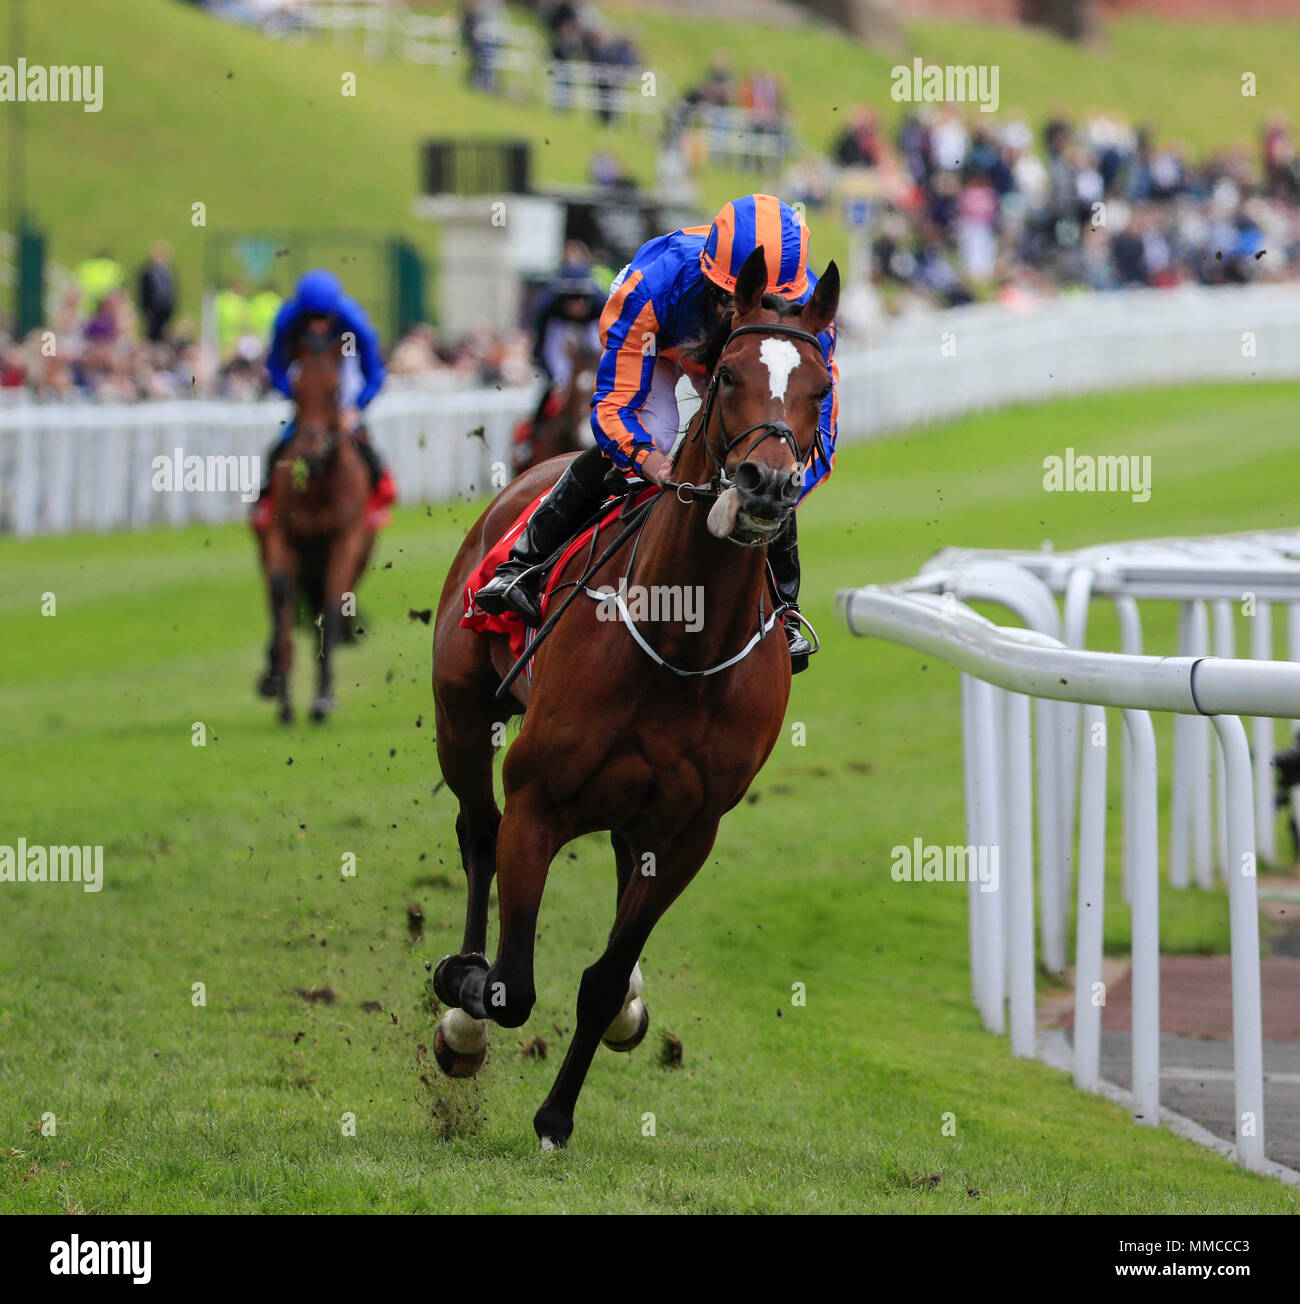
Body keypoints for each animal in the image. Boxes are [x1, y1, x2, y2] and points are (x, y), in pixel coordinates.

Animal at [425, 246, 834, 1152]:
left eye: (819, 385)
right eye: (727, 376)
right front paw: (463, 1008)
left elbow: (604, 981)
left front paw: (556, 1114)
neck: (682, 643)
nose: (766, 484)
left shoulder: (689, 833)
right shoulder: (539, 800)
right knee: (476, 829)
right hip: (461, 714)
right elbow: (510, 987)